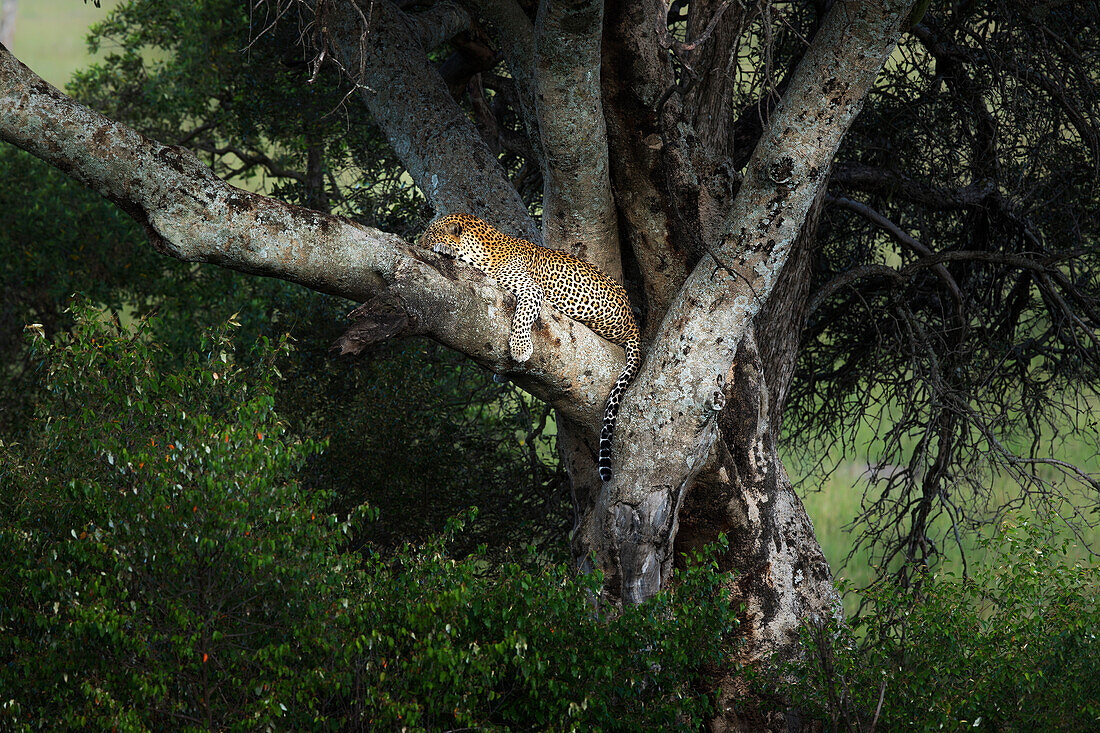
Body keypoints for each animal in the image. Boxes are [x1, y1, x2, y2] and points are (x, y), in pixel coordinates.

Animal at [420, 211, 642, 482]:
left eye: (429, 235)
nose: (418, 243)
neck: (487, 249)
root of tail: (633, 323)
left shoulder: (530, 288)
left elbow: (522, 316)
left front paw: (520, 348)